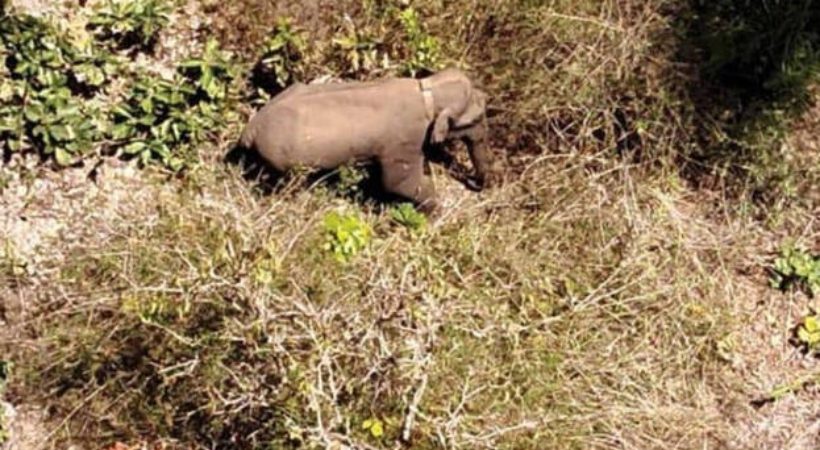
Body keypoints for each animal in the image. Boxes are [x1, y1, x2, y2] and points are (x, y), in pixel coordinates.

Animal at [237, 67, 494, 214]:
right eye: (477, 117)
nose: (475, 185)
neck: (426, 89)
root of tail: (250, 129)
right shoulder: (404, 140)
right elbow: (397, 183)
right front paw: (435, 211)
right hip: (282, 161)